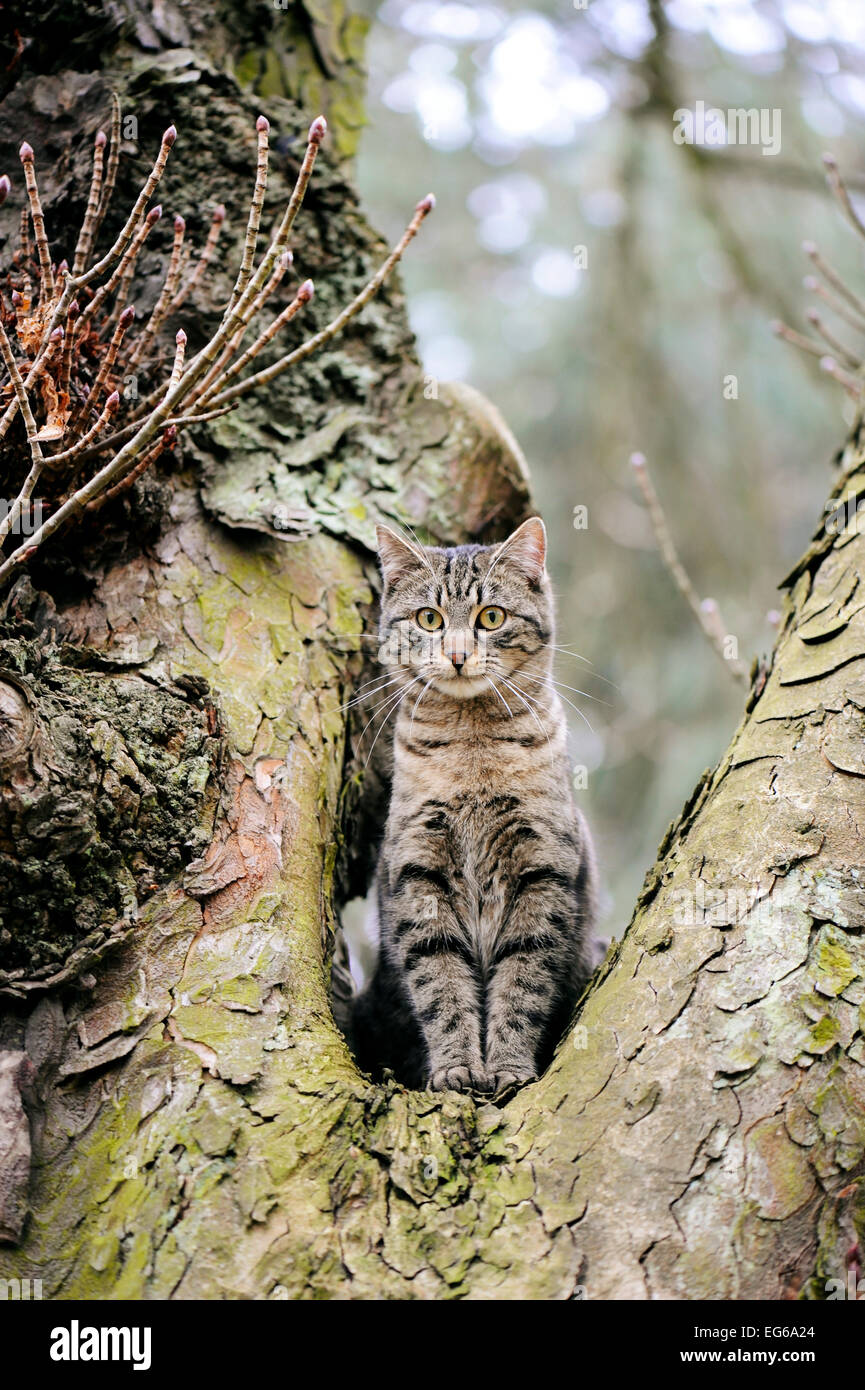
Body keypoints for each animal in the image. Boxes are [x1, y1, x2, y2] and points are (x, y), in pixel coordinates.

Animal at [353, 517, 595, 1089]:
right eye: (429, 618)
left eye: (491, 617)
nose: (459, 655)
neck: (473, 753)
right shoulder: (418, 874)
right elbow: (440, 983)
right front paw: (457, 1067)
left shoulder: (542, 870)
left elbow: (523, 981)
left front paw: (507, 1067)